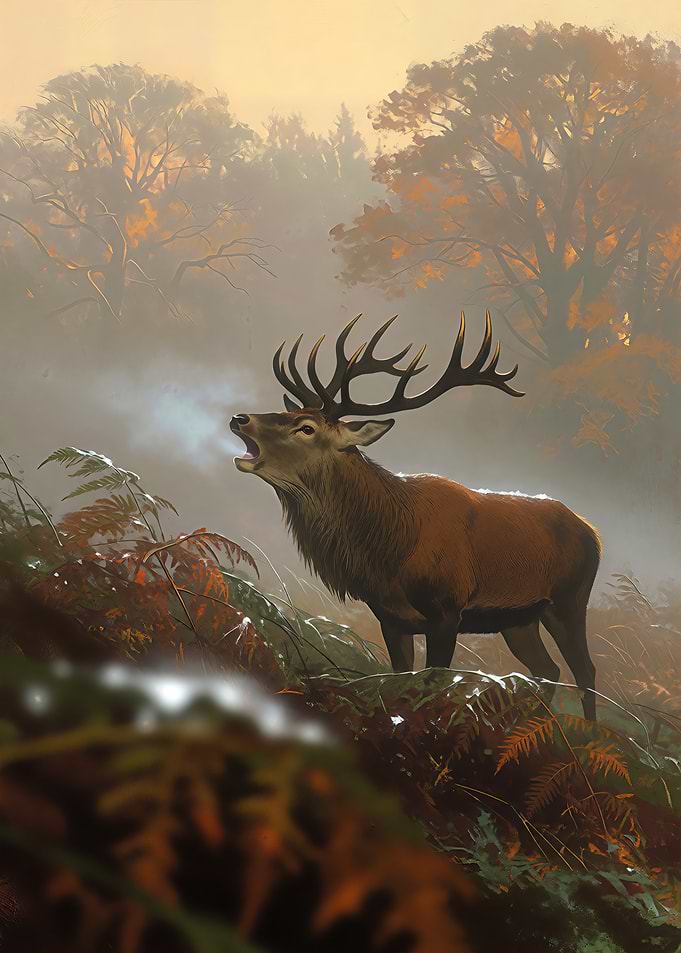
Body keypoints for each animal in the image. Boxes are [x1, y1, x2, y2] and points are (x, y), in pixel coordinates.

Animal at [230, 311, 601, 719]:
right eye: (288, 412)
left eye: (306, 428)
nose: (240, 418)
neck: (390, 551)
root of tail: (593, 533)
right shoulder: (390, 618)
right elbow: (400, 680)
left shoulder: (447, 611)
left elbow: (432, 685)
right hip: (519, 619)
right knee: (546, 669)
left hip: (569, 599)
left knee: (584, 671)